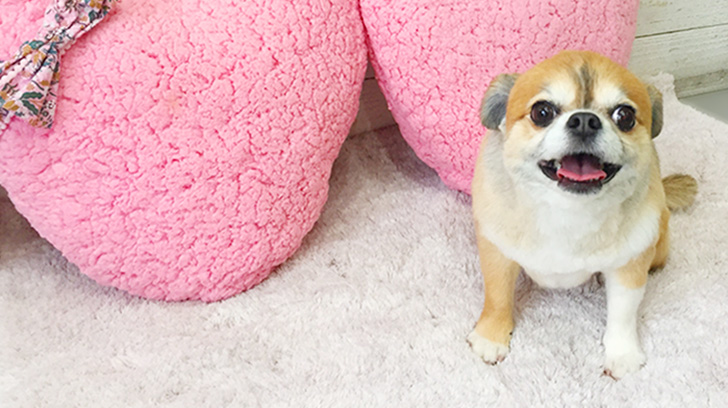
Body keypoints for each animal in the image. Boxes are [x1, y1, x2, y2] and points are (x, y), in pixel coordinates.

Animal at [467, 50, 697, 379]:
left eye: (625, 116)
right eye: (542, 112)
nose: (585, 120)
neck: (568, 212)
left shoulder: (630, 264)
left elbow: (623, 315)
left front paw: (622, 354)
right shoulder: (496, 250)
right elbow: (497, 296)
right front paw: (491, 337)